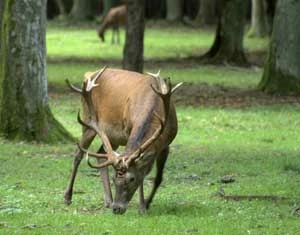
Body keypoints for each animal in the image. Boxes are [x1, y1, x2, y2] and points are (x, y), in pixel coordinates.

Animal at [64, 66, 182, 215]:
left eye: (132, 179)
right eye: (114, 178)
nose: (117, 208)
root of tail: (89, 74)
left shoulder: (166, 144)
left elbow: (158, 178)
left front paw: (147, 203)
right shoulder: (128, 131)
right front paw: (142, 207)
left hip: (111, 136)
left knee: (101, 153)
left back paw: (108, 200)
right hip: (88, 121)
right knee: (78, 153)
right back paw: (67, 197)